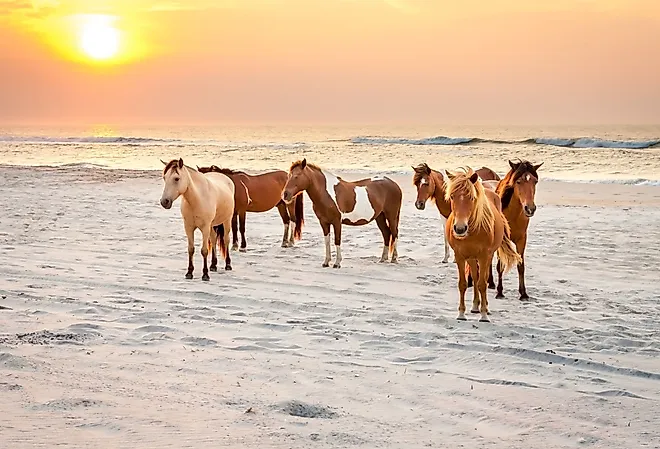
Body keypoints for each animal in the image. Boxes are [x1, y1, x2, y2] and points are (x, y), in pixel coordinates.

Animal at [444, 167, 521, 322]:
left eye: (471, 197)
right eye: (452, 197)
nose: (460, 229)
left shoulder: (485, 256)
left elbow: (482, 284)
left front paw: (484, 314)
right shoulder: (460, 256)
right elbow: (463, 284)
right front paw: (461, 313)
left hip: (487, 256)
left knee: (482, 278)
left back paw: (484, 308)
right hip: (472, 258)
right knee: (474, 276)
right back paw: (475, 306)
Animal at [492, 159, 543, 300]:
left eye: (535, 181)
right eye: (518, 181)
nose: (530, 208)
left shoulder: (522, 239)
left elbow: (521, 265)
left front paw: (523, 293)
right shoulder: (502, 241)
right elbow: (500, 266)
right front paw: (499, 292)